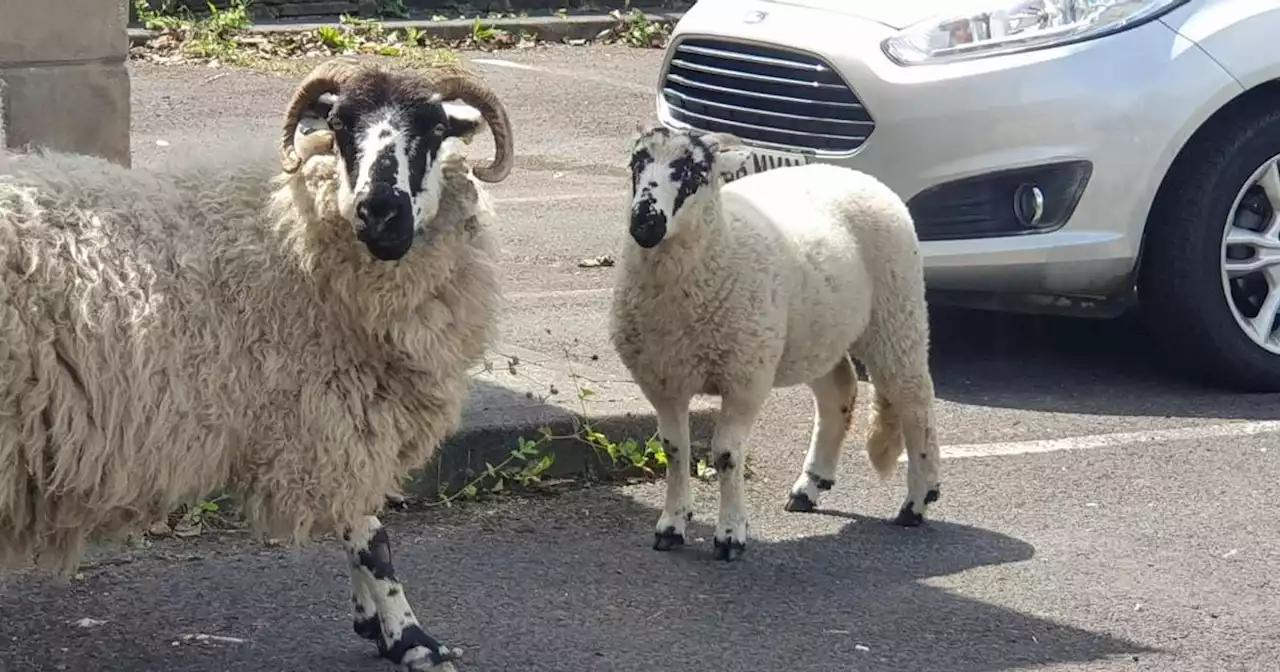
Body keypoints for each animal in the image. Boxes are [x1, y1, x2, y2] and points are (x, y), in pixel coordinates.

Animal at [0, 58, 512, 670]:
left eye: (435, 128)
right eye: (339, 125)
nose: (379, 212)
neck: (286, 235)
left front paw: (374, 622)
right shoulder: (328, 421)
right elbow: (374, 541)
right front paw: (411, 639)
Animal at [604, 125, 947, 560]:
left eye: (694, 171)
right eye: (637, 163)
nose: (645, 223)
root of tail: (857, 176)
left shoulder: (745, 378)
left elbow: (726, 454)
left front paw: (730, 535)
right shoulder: (663, 380)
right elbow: (674, 449)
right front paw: (671, 526)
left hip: (897, 312)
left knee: (915, 400)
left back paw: (917, 501)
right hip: (814, 334)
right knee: (839, 392)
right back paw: (810, 486)